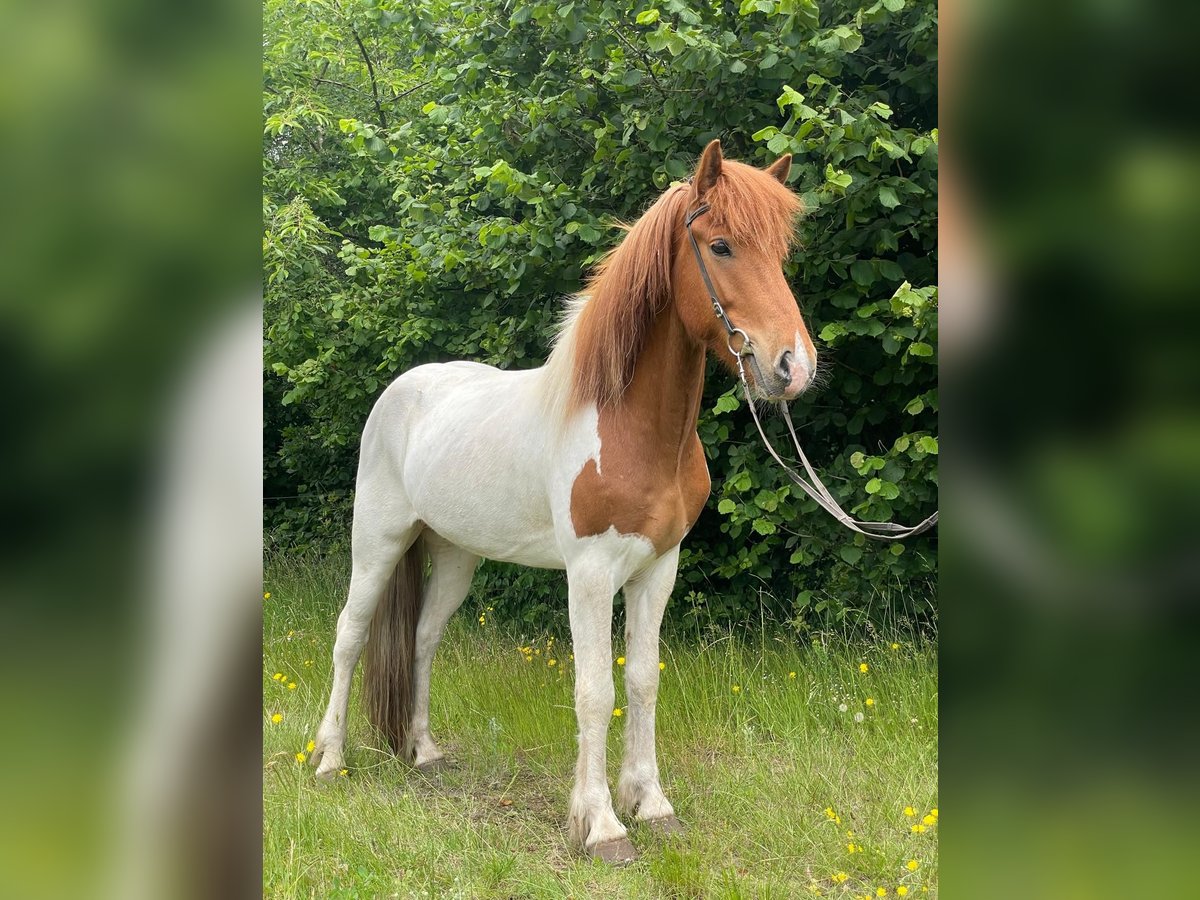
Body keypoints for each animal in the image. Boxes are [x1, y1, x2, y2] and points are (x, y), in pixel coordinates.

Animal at [310, 139, 817, 863]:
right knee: (349, 636)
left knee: (423, 637)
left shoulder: (658, 568)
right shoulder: (591, 573)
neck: (631, 427)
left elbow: (642, 680)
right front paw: (601, 824)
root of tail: (403, 390)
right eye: (720, 246)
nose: (792, 368)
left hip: (457, 555)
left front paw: (650, 803)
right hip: (376, 542)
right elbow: (593, 690)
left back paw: (424, 751)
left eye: (780, 252)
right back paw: (330, 758)